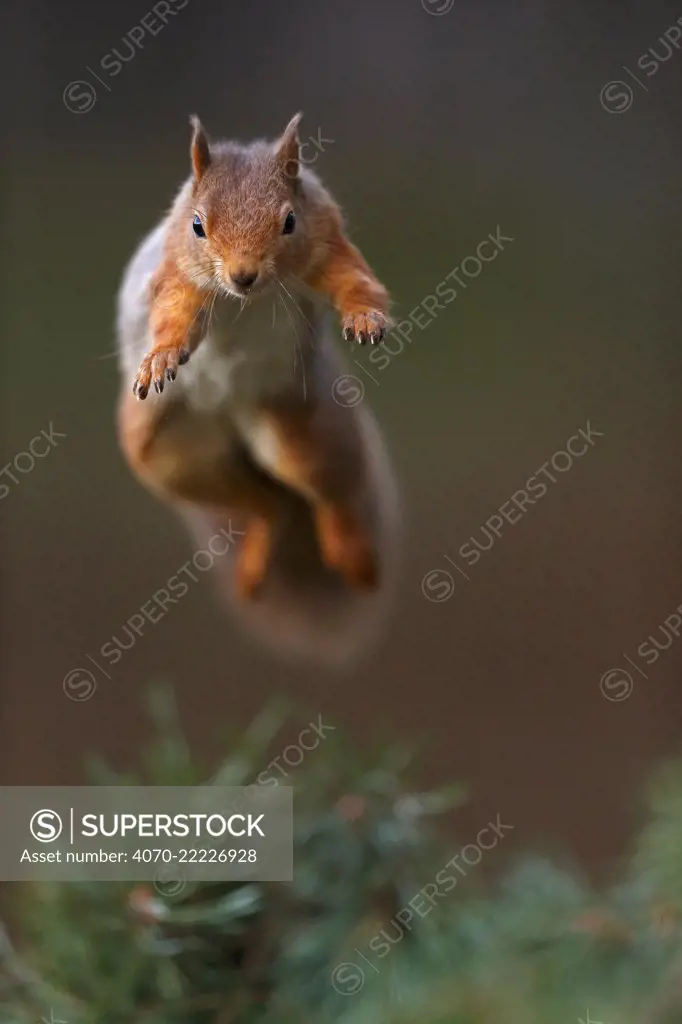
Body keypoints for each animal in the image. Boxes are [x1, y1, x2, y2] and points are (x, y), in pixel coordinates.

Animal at [116, 114, 399, 663]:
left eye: (289, 221)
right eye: (197, 225)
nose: (243, 276)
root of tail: (231, 414)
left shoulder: (326, 239)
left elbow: (354, 281)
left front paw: (365, 318)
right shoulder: (177, 274)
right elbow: (173, 319)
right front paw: (159, 358)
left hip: (299, 432)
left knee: (326, 494)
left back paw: (355, 558)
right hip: (167, 453)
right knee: (264, 505)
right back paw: (255, 563)